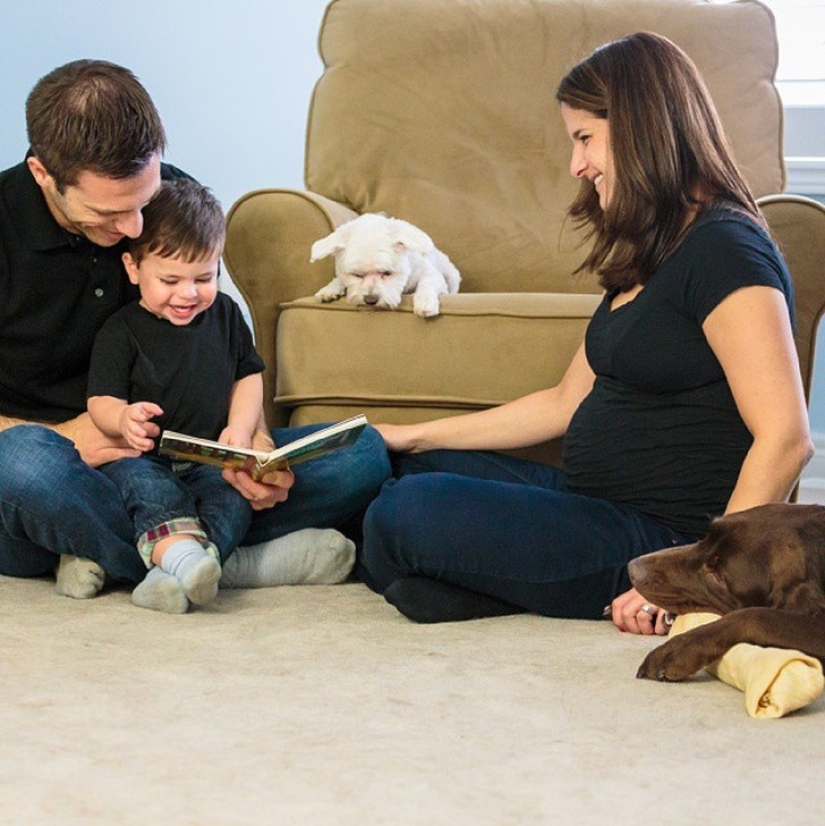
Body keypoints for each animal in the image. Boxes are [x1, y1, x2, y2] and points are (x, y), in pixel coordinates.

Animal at [310, 211, 460, 318]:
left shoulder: (431, 273)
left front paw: (425, 302)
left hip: (452, 277)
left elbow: (428, 282)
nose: (370, 300)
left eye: (387, 273)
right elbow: (339, 278)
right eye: (357, 275)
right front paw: (329, 289)